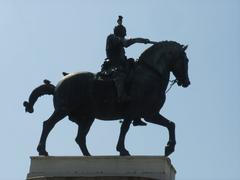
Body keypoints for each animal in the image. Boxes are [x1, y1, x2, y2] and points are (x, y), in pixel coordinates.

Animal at [23, 40, 190, 156]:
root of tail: (58, 84)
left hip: (87, 118)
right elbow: (124, 129)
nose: (186, 82)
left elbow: (171, 124)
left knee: (80, 138)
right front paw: (122, 150)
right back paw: (42, 150)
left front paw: (169, 148)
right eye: (186, 60)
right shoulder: (133, 112)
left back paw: (88, 156)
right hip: (63, 110)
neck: (151, 74)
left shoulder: (149, 114)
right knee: (48, 125)